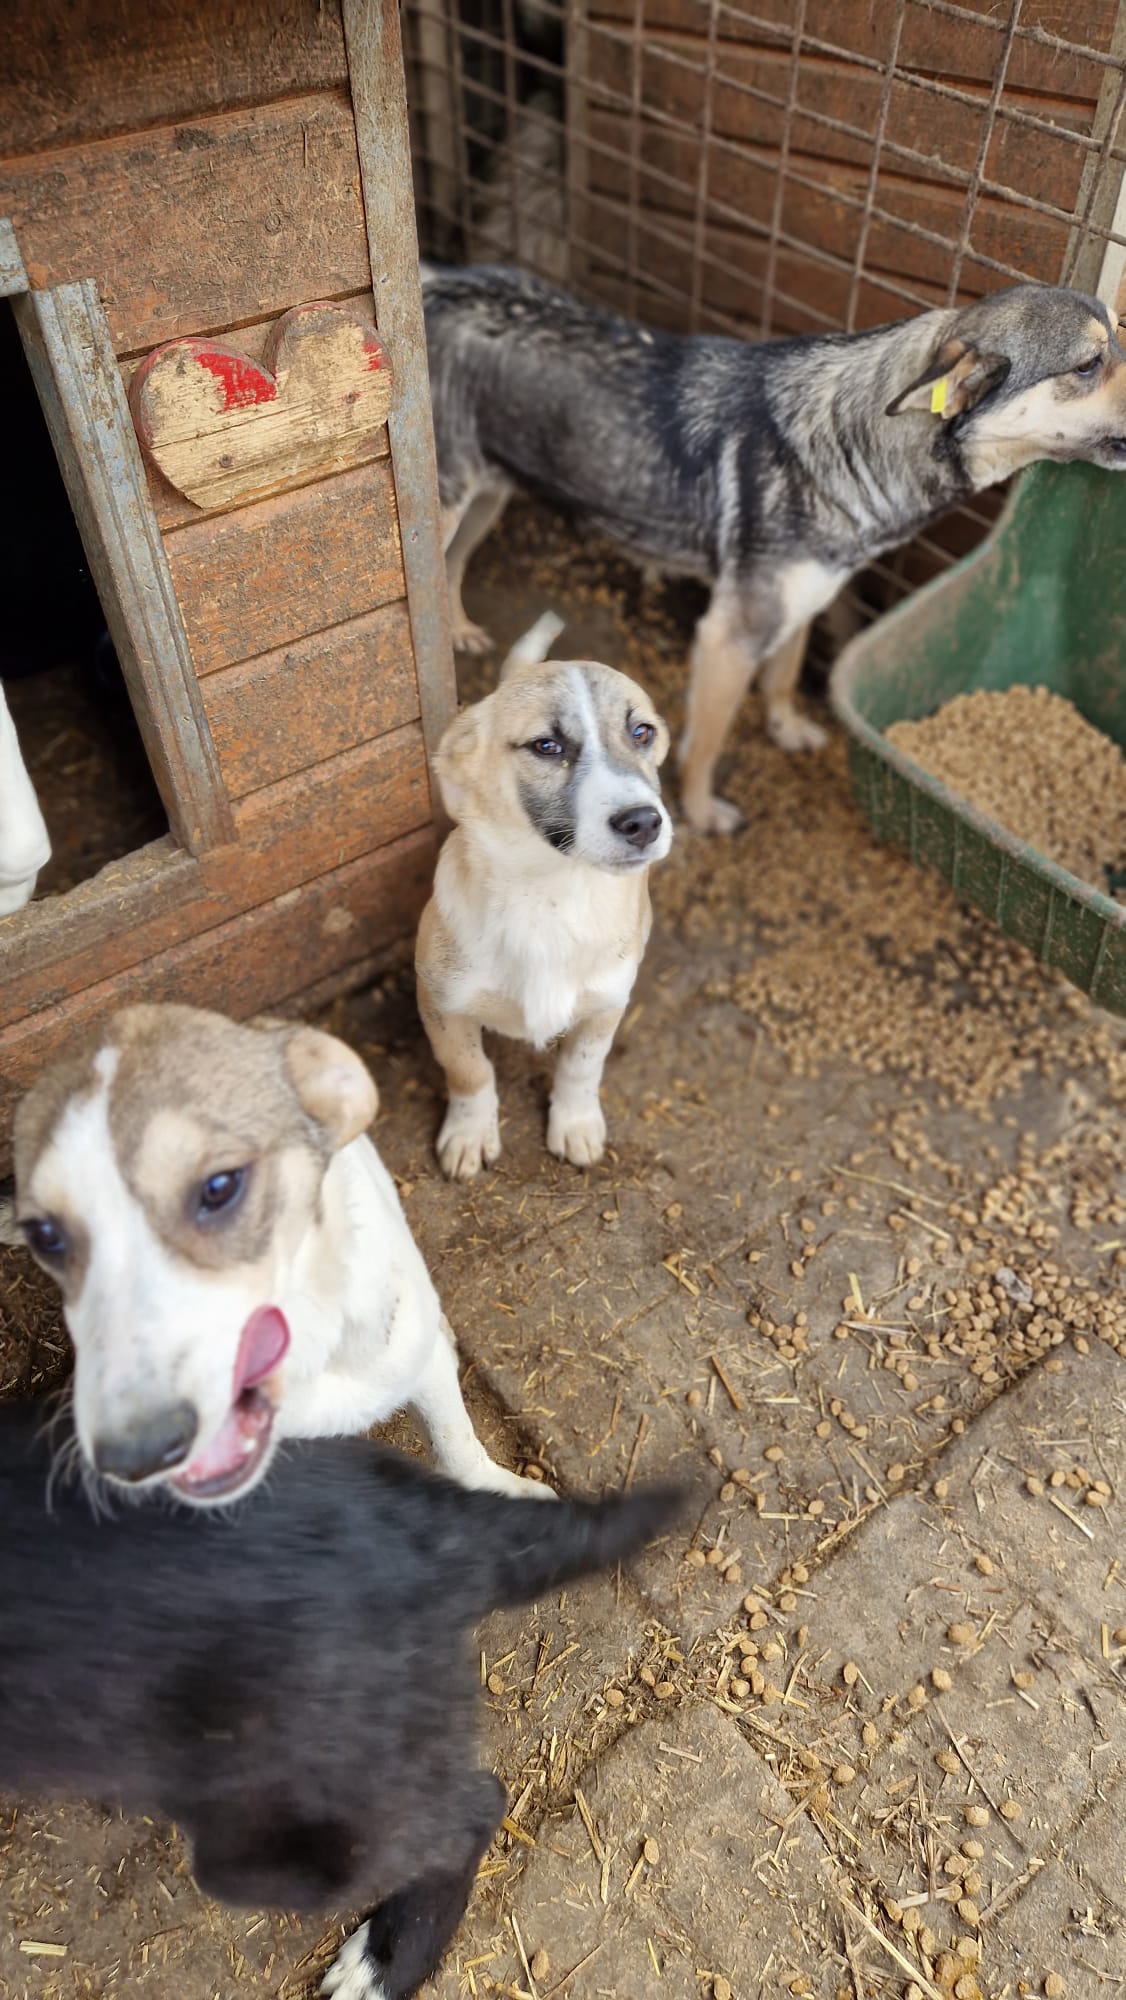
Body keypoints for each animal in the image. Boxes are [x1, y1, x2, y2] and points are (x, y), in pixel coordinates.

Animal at [416, 613, 672, 1179]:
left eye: (642, 732)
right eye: (546, 747)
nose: (643, 823)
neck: (550, 895)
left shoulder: (606, 1005)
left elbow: (581, 1068)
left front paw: (574, 1125)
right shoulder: (442, 1004)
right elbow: (469, 1071)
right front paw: (470, 1133)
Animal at [423, 266, 1126, 833]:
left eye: (1120, 341)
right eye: (1087, 366)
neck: (852, 441)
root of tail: (432, 282)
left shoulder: (803, 602)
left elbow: (784, 678)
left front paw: (785, 729)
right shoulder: (729, 634)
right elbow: (705, 743)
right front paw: (701, 813)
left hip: (488, 497)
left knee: (450, 568)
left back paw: (458, 630)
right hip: (453, 502)